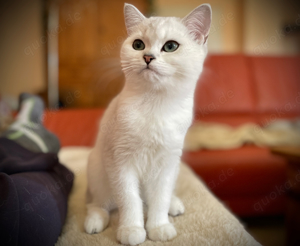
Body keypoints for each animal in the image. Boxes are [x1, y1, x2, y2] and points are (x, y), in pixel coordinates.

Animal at [84, 2, 211, 245]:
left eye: (170, 46)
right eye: (138, 45)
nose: (148, 57)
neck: (155, 106)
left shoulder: (167, 163)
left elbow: (159, 199)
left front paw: (159, 227)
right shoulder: (121, 163)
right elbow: (129, 201)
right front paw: (132, 230)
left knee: (154, 199)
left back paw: (173, 205)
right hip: (98, 170)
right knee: (99, 204)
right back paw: (94, 222)